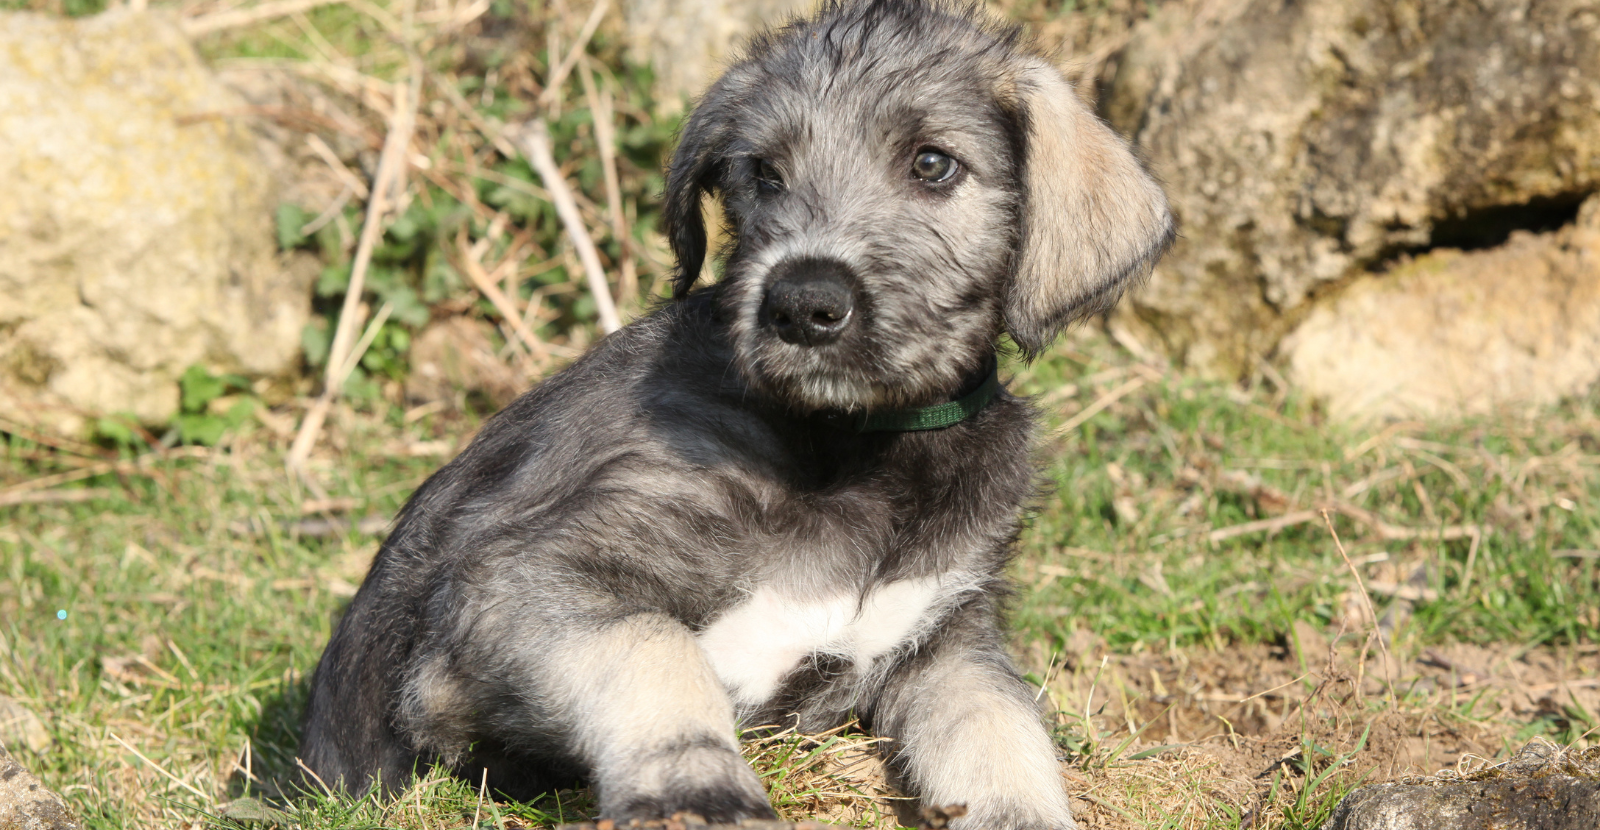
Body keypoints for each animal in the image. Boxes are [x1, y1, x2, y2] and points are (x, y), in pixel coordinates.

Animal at [302, 1, 1177, 825]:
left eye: (933, 164)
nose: (802, 304)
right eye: (764, 173)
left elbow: (1000, 728)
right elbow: (654, 646)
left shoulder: (947, 641)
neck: (855, 448)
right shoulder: (512, 585)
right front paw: (699, 787)